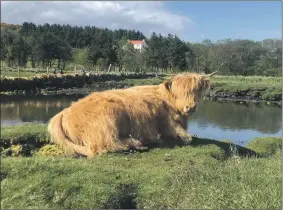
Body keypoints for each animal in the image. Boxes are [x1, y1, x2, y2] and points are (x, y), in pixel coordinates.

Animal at [48, 72, 217, 158]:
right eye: (178, 92)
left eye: (196, 90)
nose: (191, 106)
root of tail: (64, 112)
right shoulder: (168, 124)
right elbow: (186, 138)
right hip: (106, 121)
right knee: (103, 146)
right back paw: (136, 143)